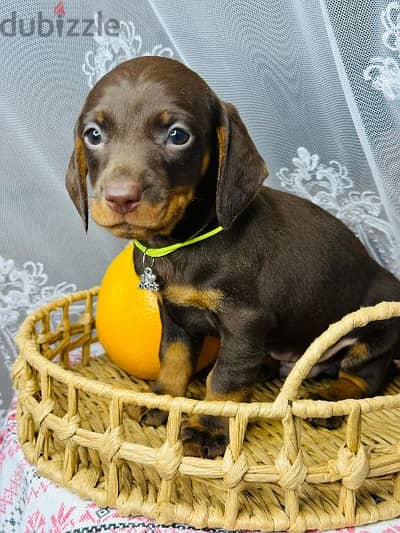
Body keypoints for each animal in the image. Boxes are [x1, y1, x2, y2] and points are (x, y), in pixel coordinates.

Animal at [65, 57, 400, 458]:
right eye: (93, 134)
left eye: (178, 136)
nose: (120, 198)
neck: (180, 245)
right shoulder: (174, 316)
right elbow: (172, 359)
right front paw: (163, 399)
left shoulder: (244, 323)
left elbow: (223, 379)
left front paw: (208, 429)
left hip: (378, 323)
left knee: (364, 375)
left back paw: (332, 400)